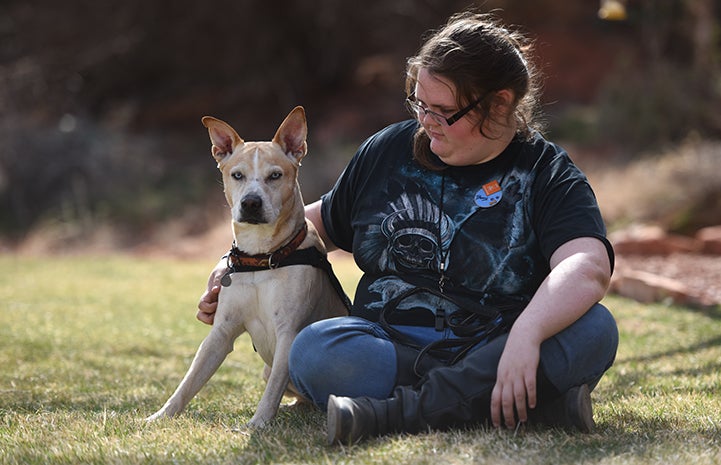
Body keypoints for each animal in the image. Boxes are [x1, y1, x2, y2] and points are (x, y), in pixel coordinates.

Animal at [146, 107, 348, 426]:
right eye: (237, 175)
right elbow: (189, 382)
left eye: (275, 175)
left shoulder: (288, 332)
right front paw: (160, 416)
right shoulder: (220, 332)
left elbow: (273, 387)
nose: (251, 203)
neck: (262, 259)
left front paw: (258, 424)